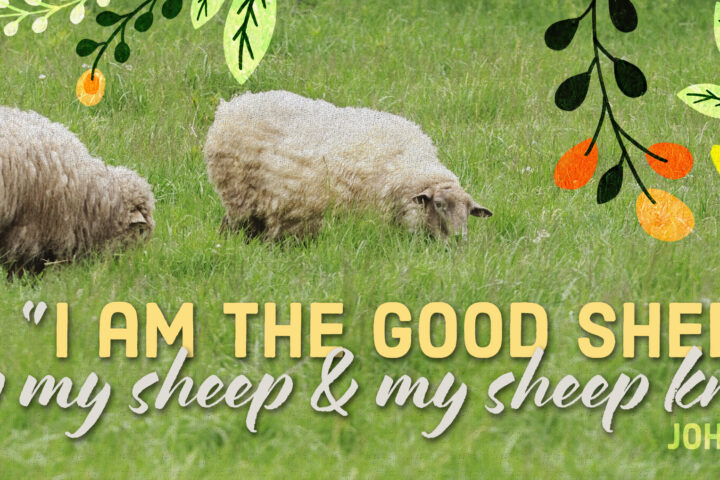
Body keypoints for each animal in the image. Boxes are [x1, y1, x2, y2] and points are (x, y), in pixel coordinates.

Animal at [203, 90, 492, 241]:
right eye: (439, 205)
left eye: (469, 211)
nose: (459, 239)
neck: (410, 166)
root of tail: (230, 105)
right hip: (239, 199)